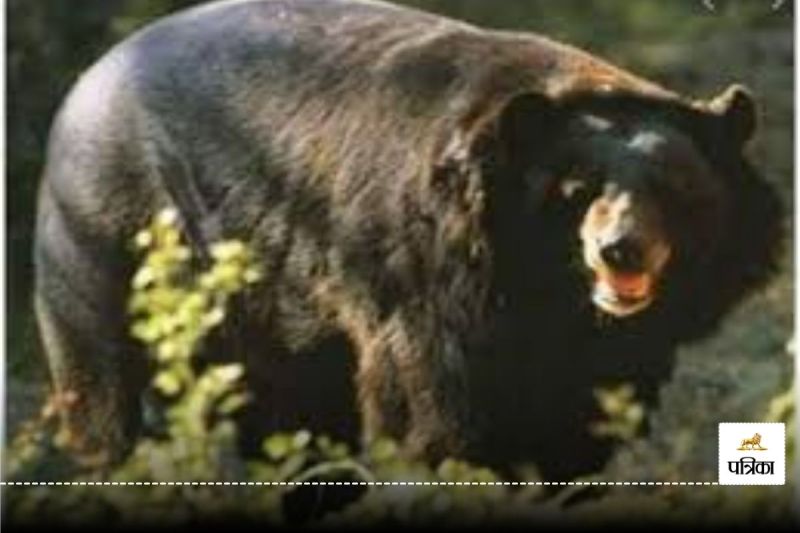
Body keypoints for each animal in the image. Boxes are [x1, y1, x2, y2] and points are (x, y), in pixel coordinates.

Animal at [33, 0, 782, 478]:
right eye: (577, 191)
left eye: (676, 190)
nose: (621, 250)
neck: (546, 288)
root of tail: (89, 77)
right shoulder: (427, 283)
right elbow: (432, 408)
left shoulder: (616, 345)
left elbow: (583, 420)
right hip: (102, 236)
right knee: (102, 384)